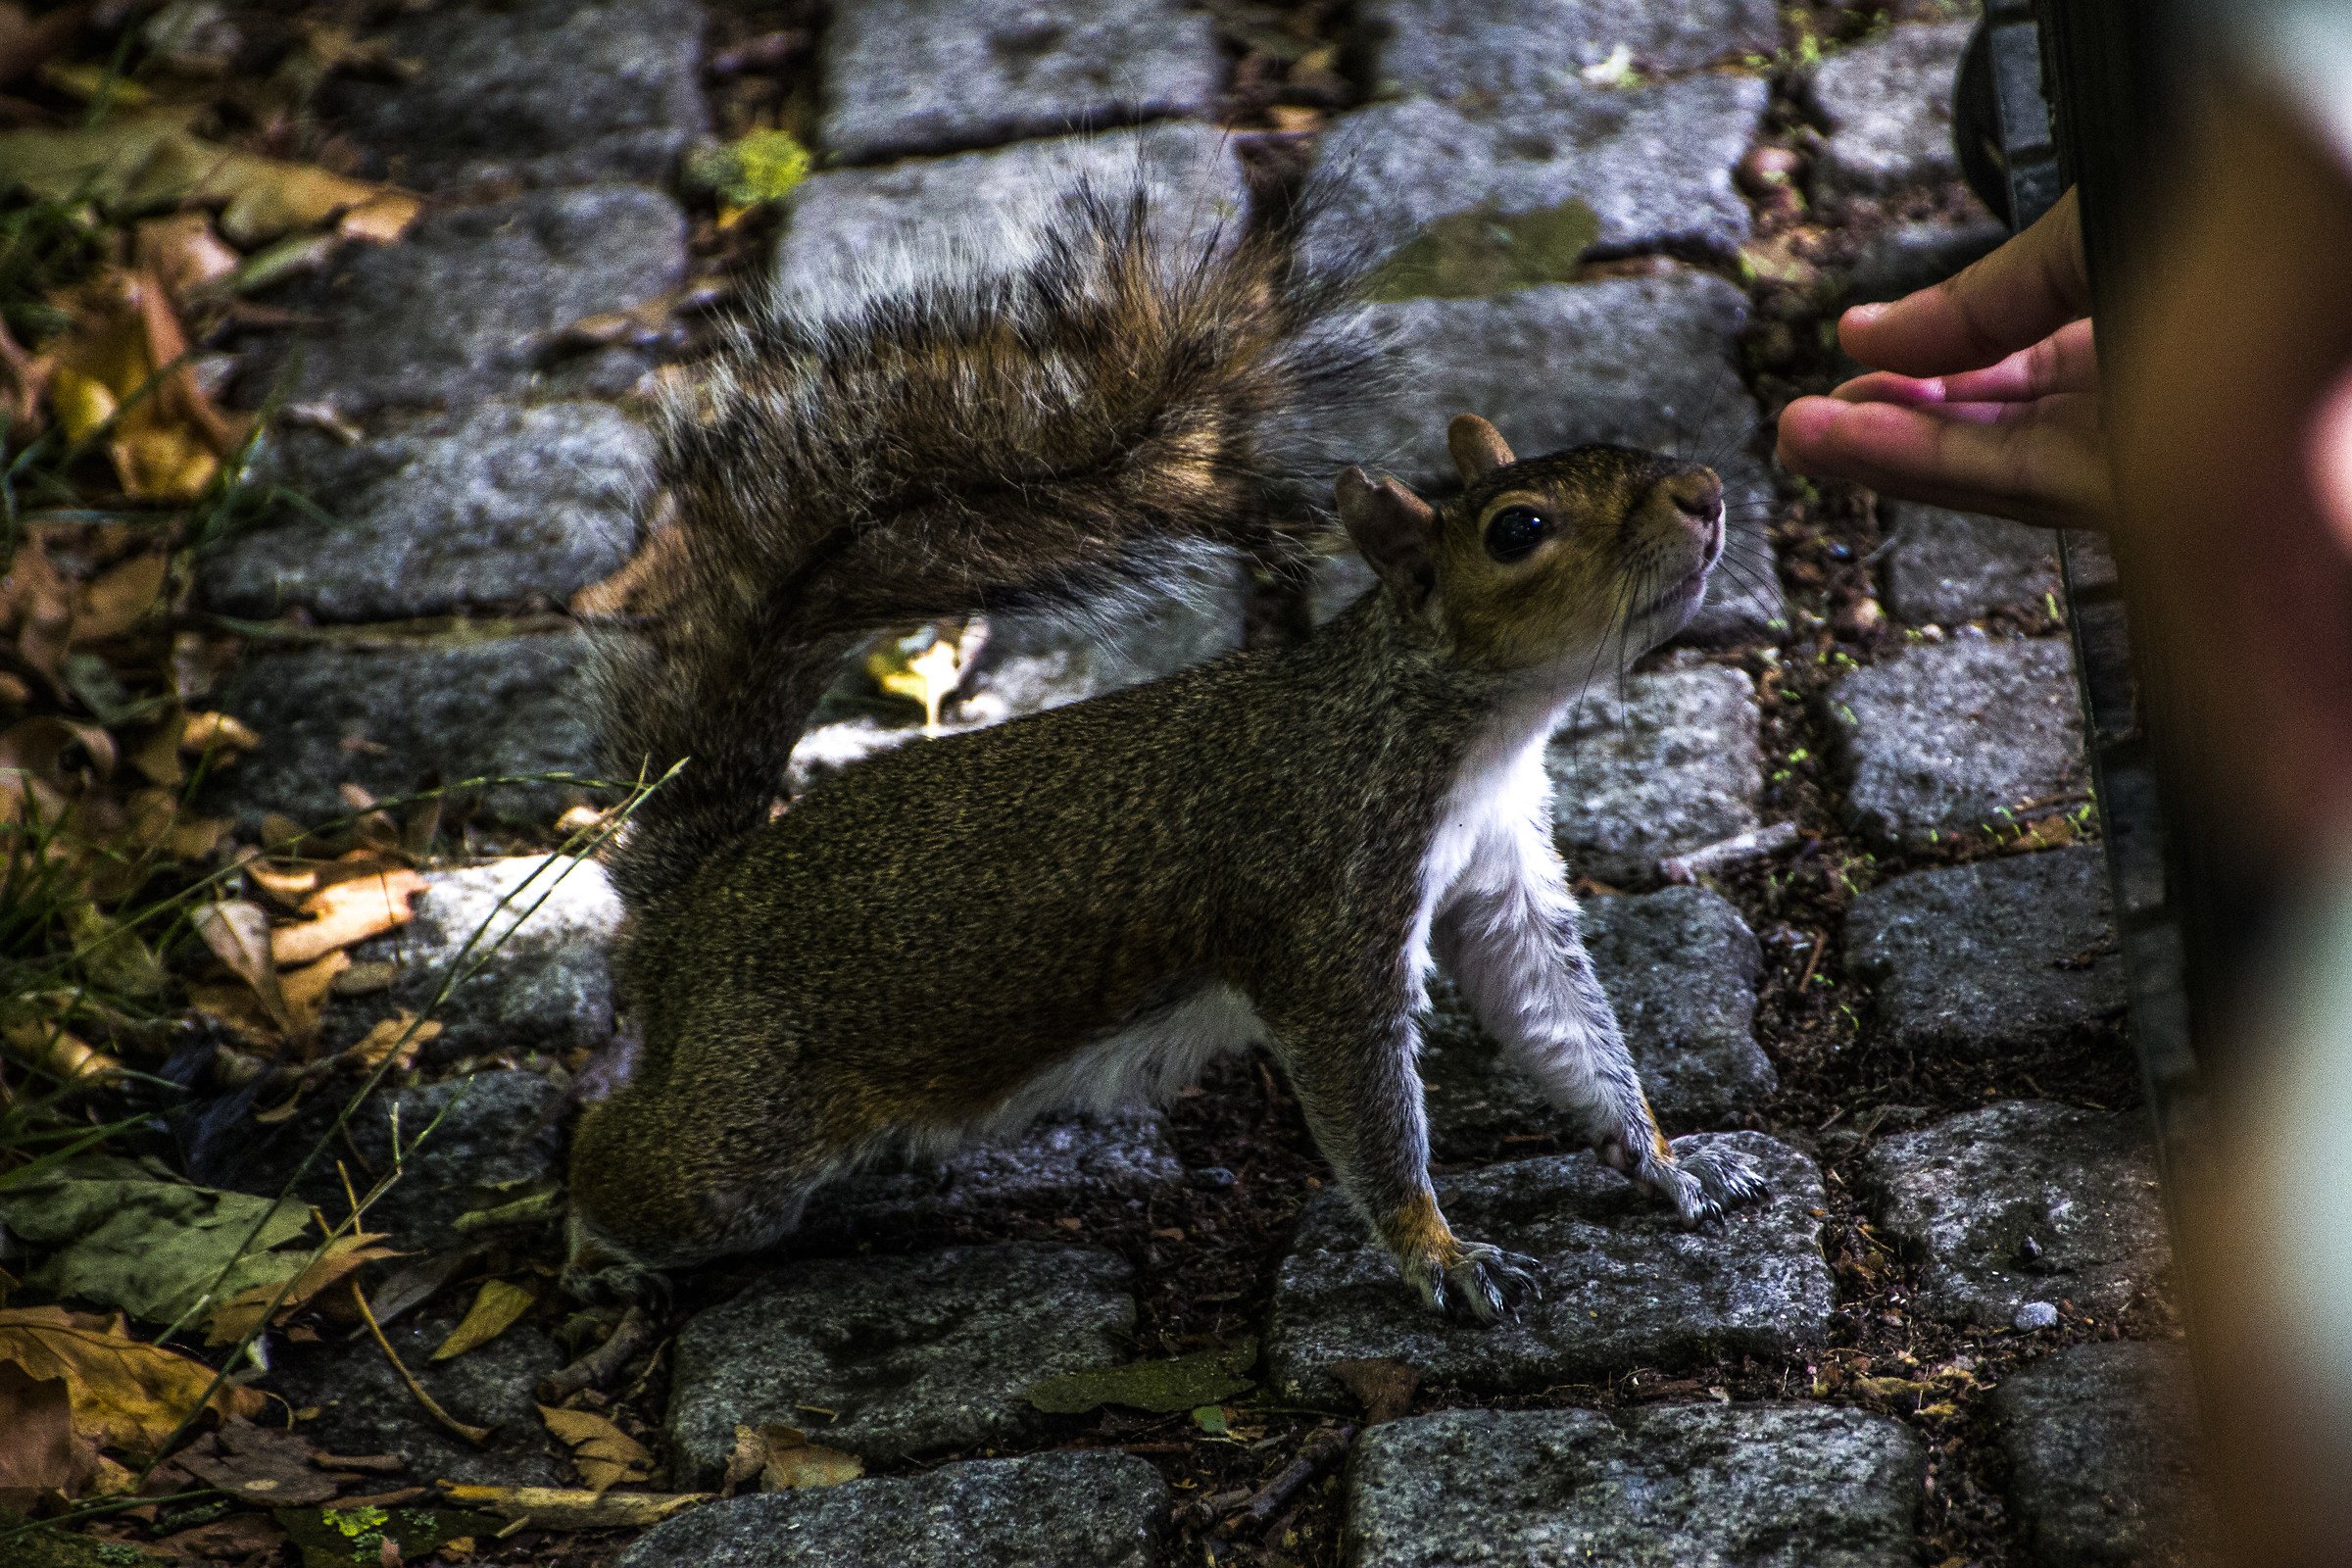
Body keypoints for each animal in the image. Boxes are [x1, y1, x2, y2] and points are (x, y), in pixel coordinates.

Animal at [563, 186, 1767, 1324]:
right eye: (1518, 530)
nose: (1707, 491)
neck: (1459, 729)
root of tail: (689, 910)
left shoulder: (1500, 884)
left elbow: (1558, 1021)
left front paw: (1668, 1160)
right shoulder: (1330, 907)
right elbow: (1367, 1102)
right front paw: (1441, 1254)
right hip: (741, 1128)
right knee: (619, 1160)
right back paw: (598, 1256)